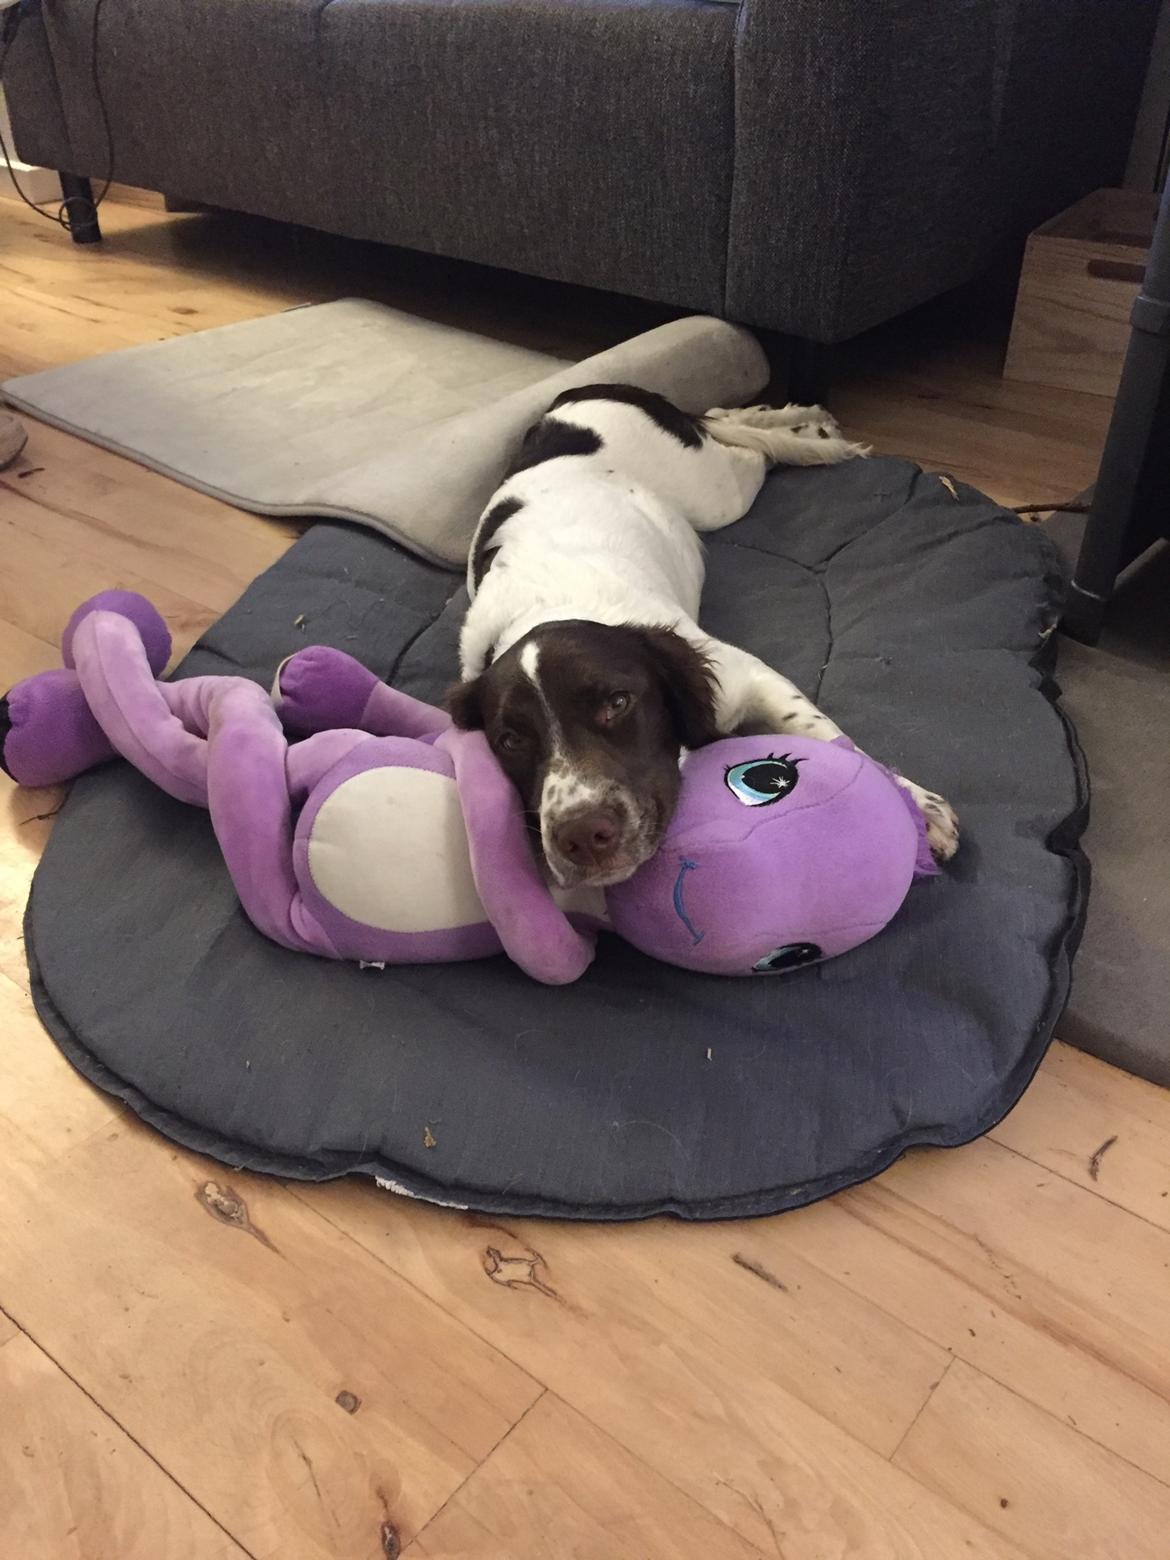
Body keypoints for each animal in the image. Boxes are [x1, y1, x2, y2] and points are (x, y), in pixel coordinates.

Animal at [449, 388, 960, 892]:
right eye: (510, 740)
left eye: (617, 703)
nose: (583, 835)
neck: (545, 609)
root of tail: (570, 397)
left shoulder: (749, 677)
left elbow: (834, 739)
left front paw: (920, 809)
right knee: (722, 419)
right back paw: (806, 423)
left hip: (714, 493)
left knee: (747, 448)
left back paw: (806, 430)